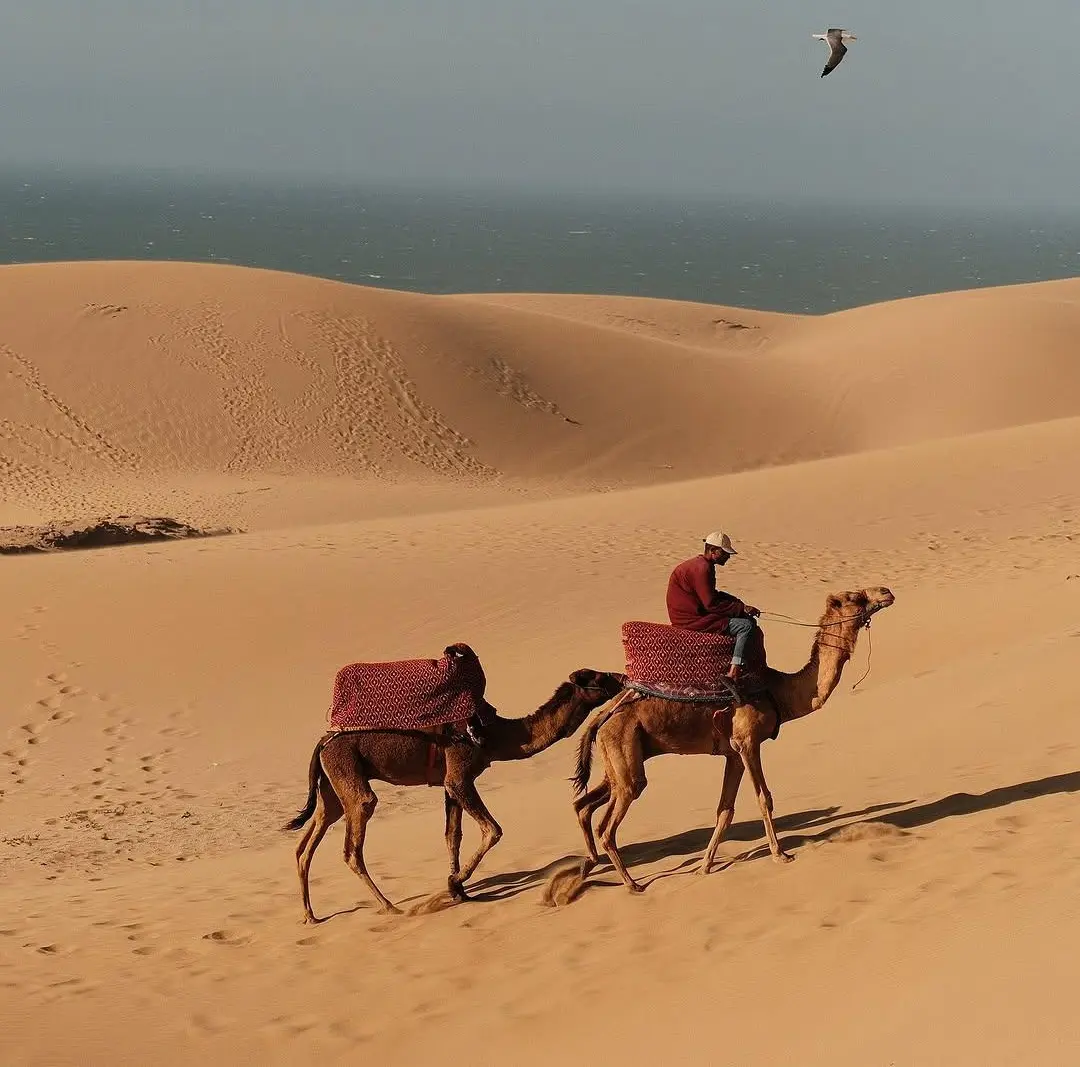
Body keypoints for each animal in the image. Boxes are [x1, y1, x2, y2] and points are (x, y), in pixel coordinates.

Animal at [286, 667, 626, 922]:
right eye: (596, 677)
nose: (621, 676)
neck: (494, 736)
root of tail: (323, 743)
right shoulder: (459, 776)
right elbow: (493, 830)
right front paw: (454, 884)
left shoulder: (450, 785)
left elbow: (453, 835)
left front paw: (459, 891)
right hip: (349, 777)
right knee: (353, 843)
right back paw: (389, 906)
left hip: (331, 787)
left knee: (308, 841)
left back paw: (310, 916)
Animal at [572, 587, 895, 892]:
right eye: (855, 596)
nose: (886, 592)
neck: (777, 689)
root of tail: (602, 716)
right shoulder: (748, 741)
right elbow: (764, 798)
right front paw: (780, 854)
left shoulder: (732, 752)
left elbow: (724, 810)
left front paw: (704, 866)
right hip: (625, 756)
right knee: (608, 824)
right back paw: (631, 884)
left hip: (616, 759)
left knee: (585, 804)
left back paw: (588, 869)